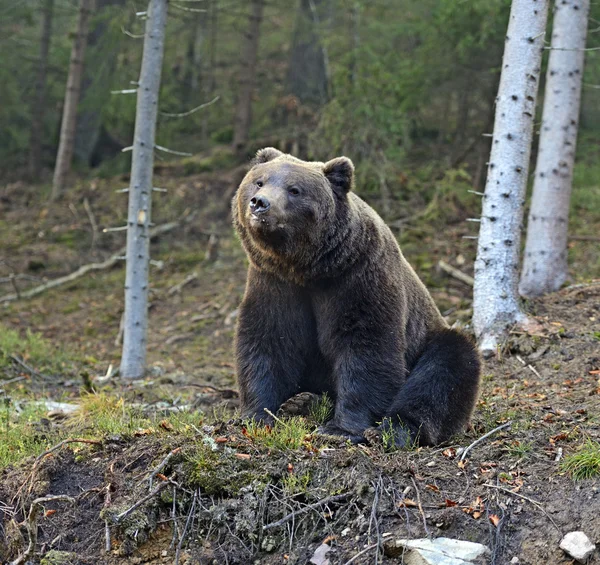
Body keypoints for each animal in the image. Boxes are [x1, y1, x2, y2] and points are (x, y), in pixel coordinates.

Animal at [232, 149, 480, 446]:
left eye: (294, 190)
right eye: (259, 181)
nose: (260, 203)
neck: (307, 269)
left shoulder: (358, 279)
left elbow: (366, 348)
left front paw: (340, 429)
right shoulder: (274, 284)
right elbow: (269, 341)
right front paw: (257, 415)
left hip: (430, 337)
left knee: (444, 368)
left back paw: (392, 429)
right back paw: (303, 401)